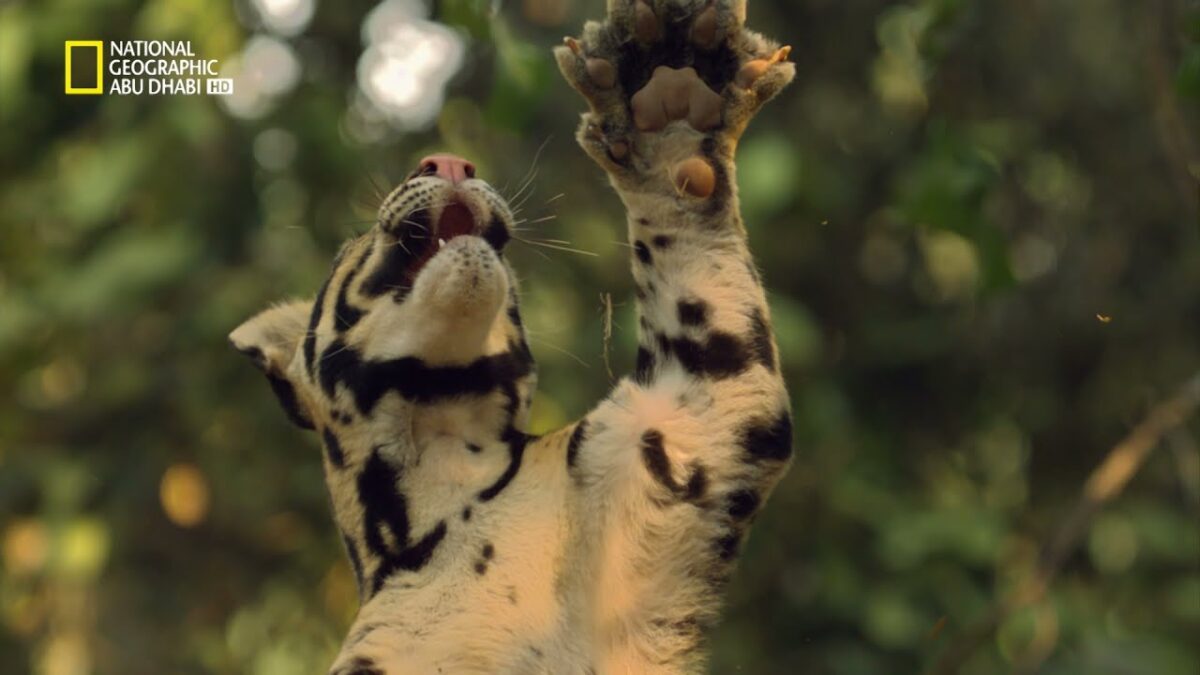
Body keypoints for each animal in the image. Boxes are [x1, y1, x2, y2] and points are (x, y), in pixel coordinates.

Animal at [231, 1, 796, 667]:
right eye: (356, 241)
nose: (450, 162)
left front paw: (673, 101)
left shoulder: (689, 417)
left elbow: (691, 240)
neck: (441, 451)